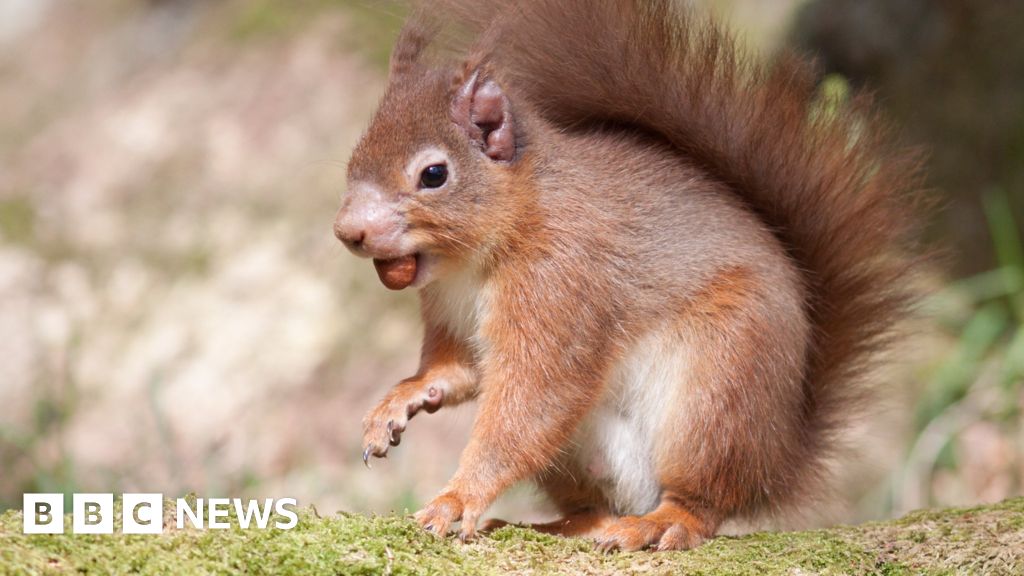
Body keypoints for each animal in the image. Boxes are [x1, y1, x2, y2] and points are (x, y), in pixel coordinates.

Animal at [333, 1, 921, 553]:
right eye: (354, 155)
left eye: (434, 175)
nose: (347, 231)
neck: (474, 262)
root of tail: (777, 462)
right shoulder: (453, 317)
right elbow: (455, 371)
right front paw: (399, 403)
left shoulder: (563, 284)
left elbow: (532, 401)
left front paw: (457, 499)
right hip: (581, 456)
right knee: (596, 507)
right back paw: (554, 526)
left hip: (719, 394)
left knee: (702, 504)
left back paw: (658, 524)